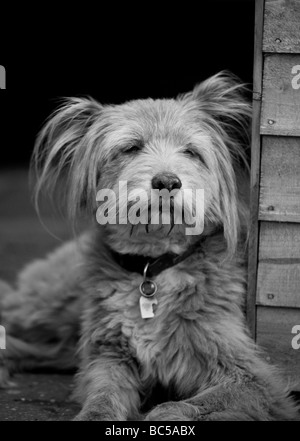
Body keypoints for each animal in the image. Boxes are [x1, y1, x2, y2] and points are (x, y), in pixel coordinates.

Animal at [0, 72, 300, 420]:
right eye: (131, 147)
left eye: (191, 151)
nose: (167, 181)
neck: (153, 268)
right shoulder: (108, 357)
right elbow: (102, 396)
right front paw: (94, 414)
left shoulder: (256, 382)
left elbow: (177, 406)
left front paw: (164, 414)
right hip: (51, 305)